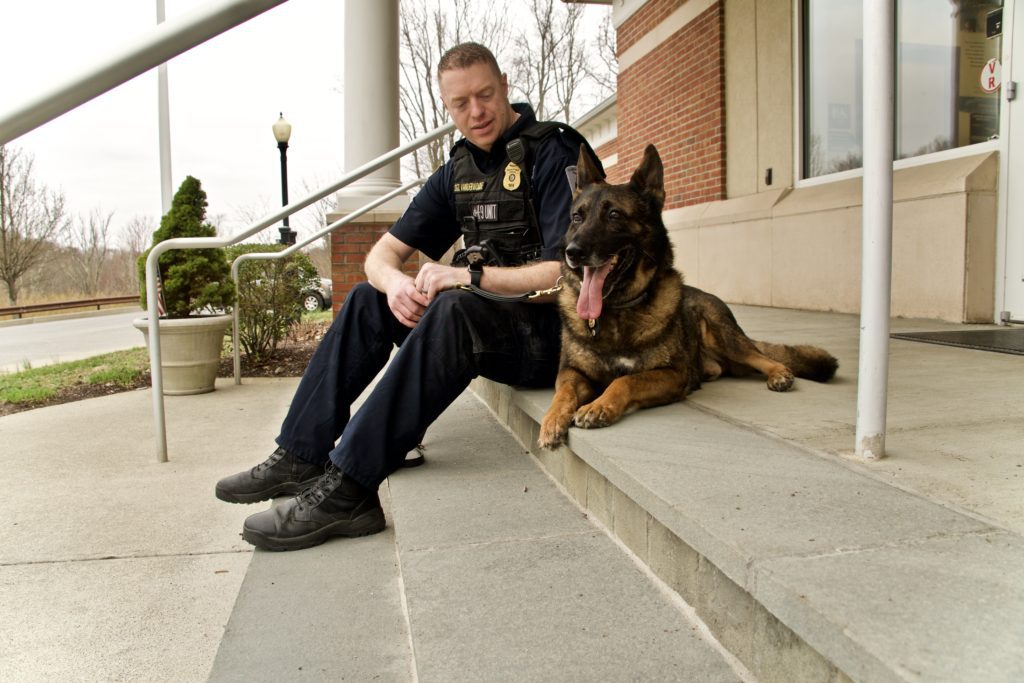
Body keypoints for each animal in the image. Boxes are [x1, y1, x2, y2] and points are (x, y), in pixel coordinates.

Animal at [536, 145, 839, 448]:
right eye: (577, 217)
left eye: (614, 215)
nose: (573, 253)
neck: (617, 310)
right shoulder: (571, 372)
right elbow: (563, 393)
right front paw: (552, 420)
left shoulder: (673, 374)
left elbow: (625, 381)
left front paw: (598, 406)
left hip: (724, 338)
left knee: (761, 356)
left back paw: (780, 374)